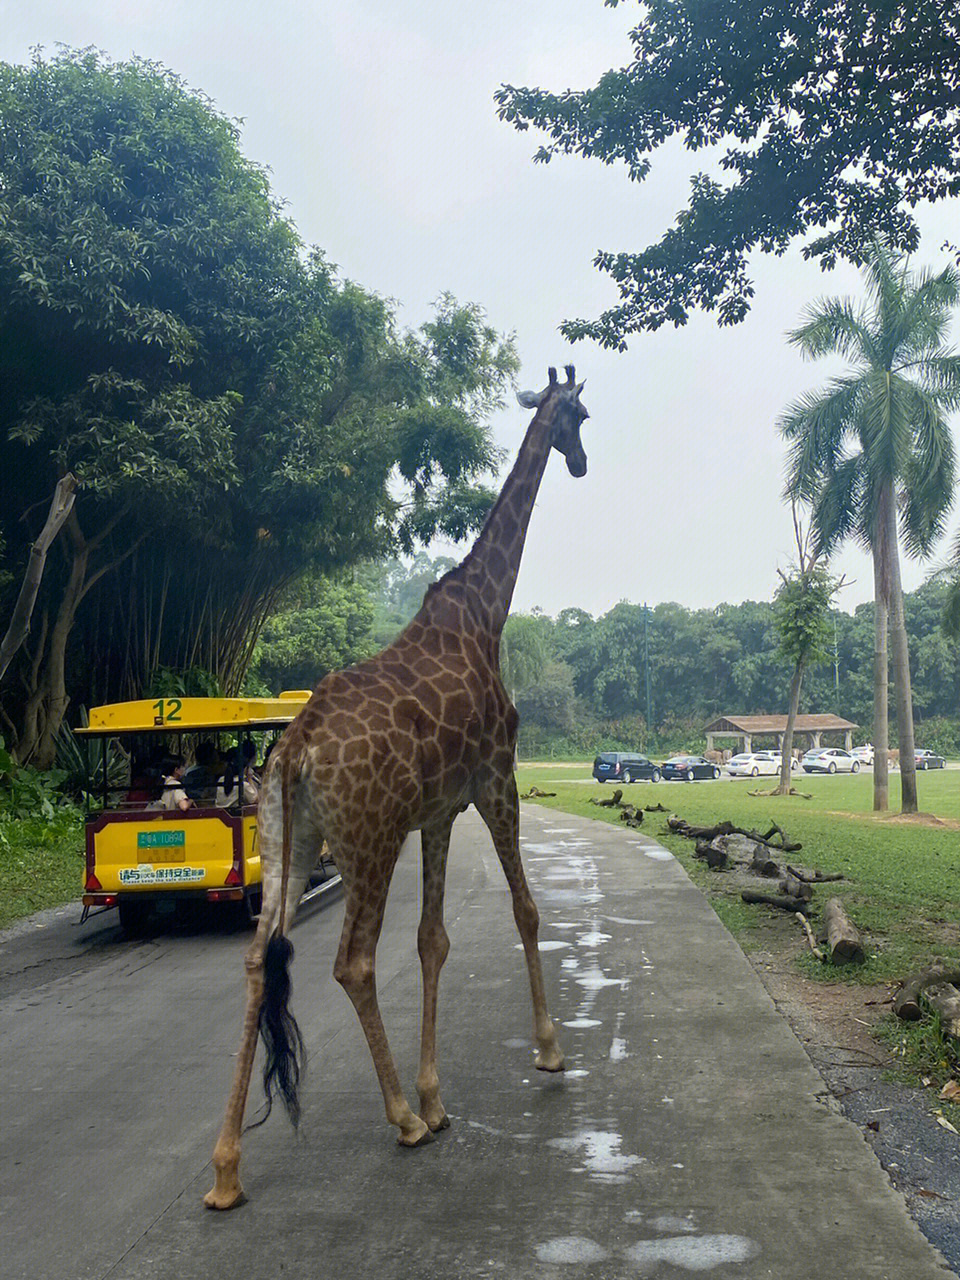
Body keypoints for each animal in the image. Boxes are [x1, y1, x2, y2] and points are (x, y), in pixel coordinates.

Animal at [207, 363, 591, 1208]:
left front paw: (438, 1096)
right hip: (368, 840)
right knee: (351, 962)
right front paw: (546, 1052)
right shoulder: (497, 780)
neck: (486, 611)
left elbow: (433, 940)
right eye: (580, 415)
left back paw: (224, 1171)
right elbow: (524, 909)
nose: (582, 463)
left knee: (254, 960)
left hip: (288, 841)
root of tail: (295, 750)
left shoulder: (439, 812)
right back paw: (400, 1122)